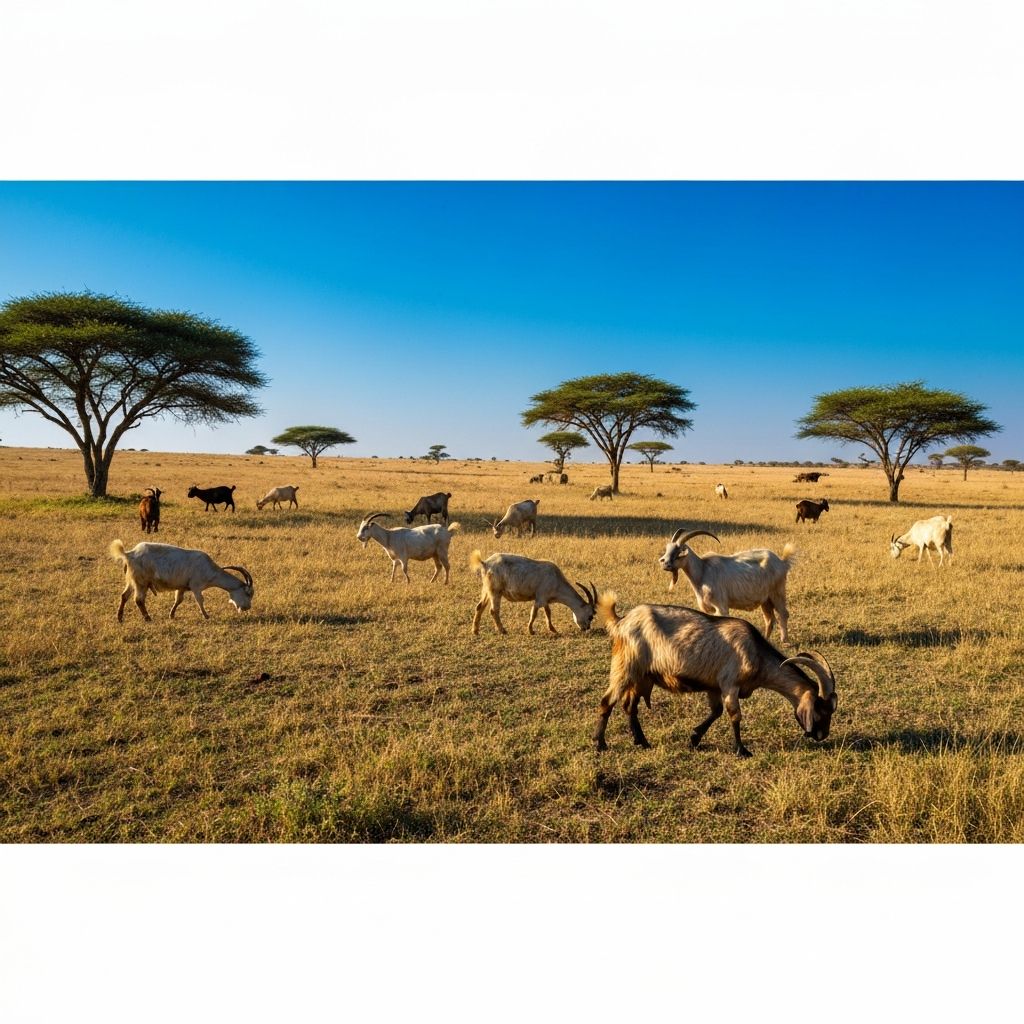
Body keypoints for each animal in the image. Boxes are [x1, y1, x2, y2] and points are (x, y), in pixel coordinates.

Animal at [109, 539, 253, 621]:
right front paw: (206, 616)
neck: (210, 569)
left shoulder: (182, 587)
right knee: (138, 600)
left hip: (132, 581)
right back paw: (147, 618)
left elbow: (178, 600)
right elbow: (200, 600)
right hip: (141, 582)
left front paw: (171, 615)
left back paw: (119, 617)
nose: (247, 608)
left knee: (124, 596)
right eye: (248, 593)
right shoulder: (196, 586)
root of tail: (130, 553)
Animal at [469, 550, 597, 635]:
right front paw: (531, 630)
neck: (556, 579)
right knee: (493, 610)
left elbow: (548, 612)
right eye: (590, 616)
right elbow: (534, 613)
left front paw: (553, 629)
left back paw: (475, 631)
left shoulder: (545, 599)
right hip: (495, 591)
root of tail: (485, 563)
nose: (586, 628)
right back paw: (503, 630)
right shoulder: (540, 598)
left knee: (479, 606)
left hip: (487, 590)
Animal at [594, 593, 837, 756]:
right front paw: (741, 750)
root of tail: (621, 621)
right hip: (626, 667)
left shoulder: (713, 687)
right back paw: (600, 743)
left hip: (643, 676)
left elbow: (716, 712)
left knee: (630, 705)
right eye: (822, 710)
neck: (756, 652)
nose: (822, 735)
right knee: (607, 701)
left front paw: (694, 738)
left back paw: (642, 742)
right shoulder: (730, 684)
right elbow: (734, 715)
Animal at [658, 528, 796, 644]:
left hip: (777, 591)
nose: (665, 564)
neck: (702, 571)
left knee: (783, 613)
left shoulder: (721, 607)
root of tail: (782, 562)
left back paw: (785, 641)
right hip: (765, 599)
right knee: (769, 619)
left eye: (679, 552)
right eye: (667, 549)